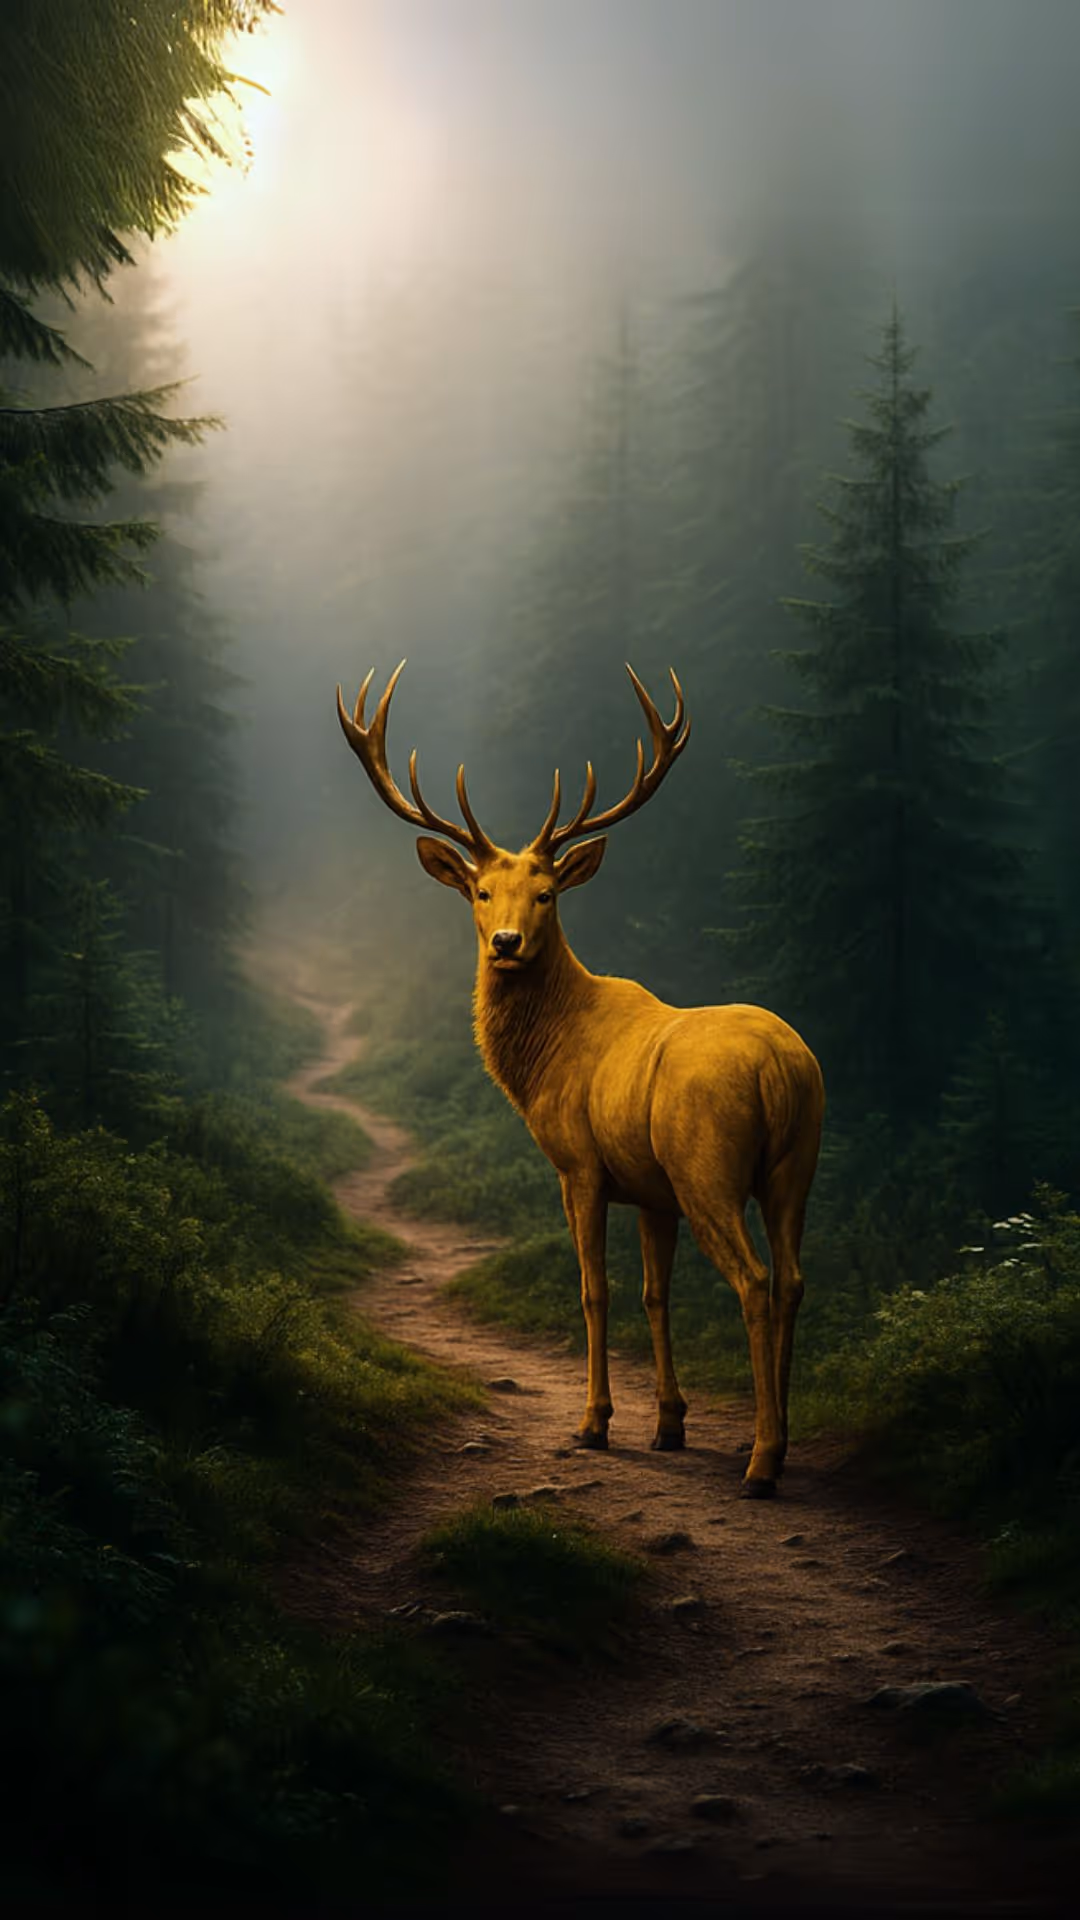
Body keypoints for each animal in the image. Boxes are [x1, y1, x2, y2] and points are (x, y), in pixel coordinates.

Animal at [336, 661, 825, 1497]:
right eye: (481, 892)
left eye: (547, 893)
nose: (505, 942)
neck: (542, 1061)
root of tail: (778, 1068)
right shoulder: (651, 1189)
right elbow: (655, 1294)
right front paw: (669, 1424)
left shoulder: (580, 1163)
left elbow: (595, 1290)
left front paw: (594, 1424)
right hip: (798, 1162)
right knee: (792, 1277)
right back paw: (783, 1440)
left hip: (708, 1165)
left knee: (756, 1281)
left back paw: (761, 1461)